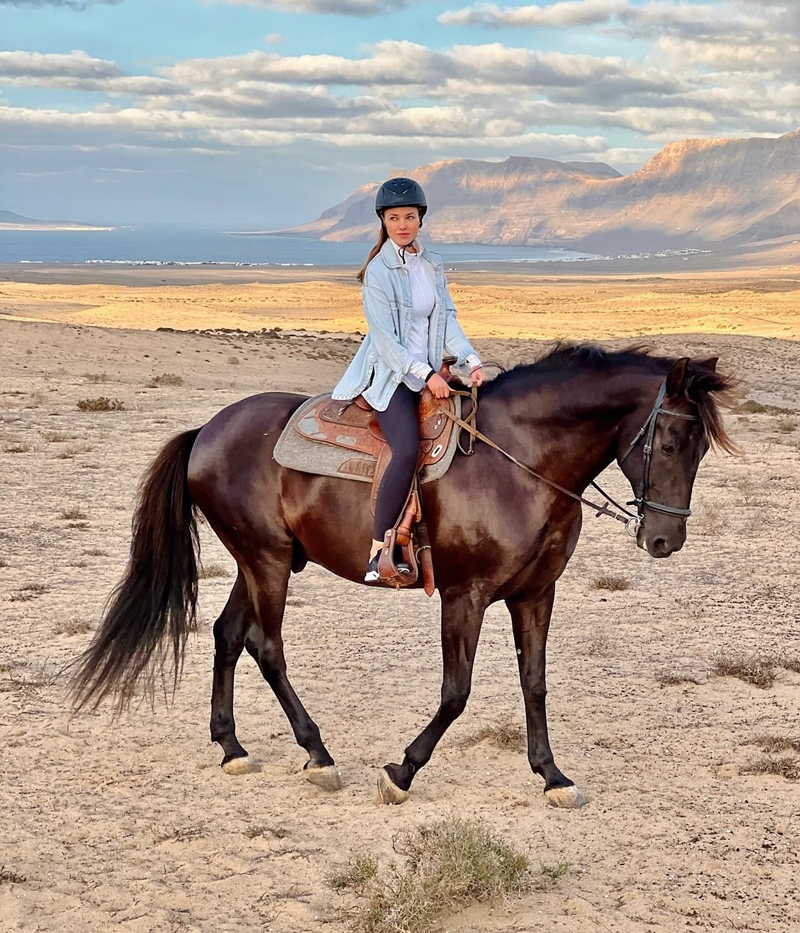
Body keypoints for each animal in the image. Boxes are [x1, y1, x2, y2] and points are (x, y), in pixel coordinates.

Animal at [71, 344, 736, 808]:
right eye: (670, 442)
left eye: (702, 447)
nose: (665, 539)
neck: (521, 461)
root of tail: (206, 431)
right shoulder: (465, 596)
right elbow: (456, 692)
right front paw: (402, 771)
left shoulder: (535, 594)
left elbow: (535, 684)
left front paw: (552, 776)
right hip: (265, 562)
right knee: (266, 645)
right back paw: (318, 754)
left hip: (259, 560)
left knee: (229, 635)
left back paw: (232, 747)